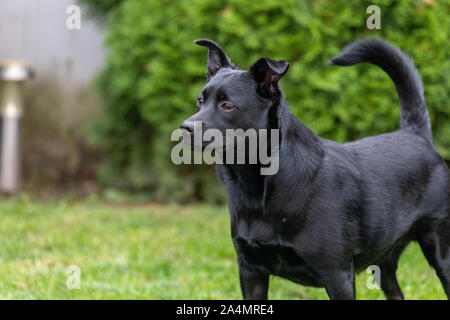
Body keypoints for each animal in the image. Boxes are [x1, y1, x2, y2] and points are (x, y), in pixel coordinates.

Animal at [181, 38, 448, 298]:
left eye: (227, 106)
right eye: (200, 101)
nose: (185, 128)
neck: (262, 186)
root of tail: (415, 133)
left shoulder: (338, 275)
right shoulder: (250, 272)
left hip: (441, 250)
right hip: (385, 261)